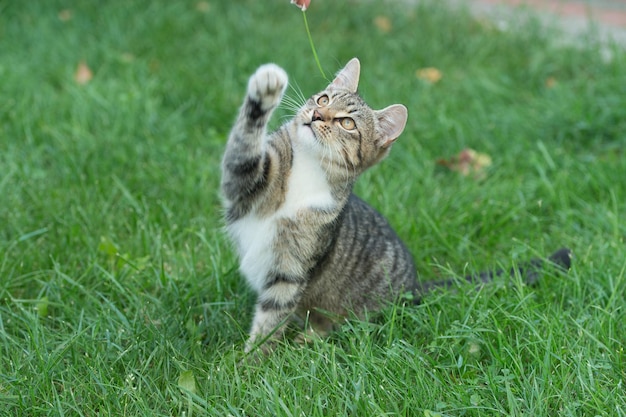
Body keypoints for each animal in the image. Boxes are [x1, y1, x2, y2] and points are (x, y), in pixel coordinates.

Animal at [221, 57, 572, 352]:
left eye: (347, 124)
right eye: (323, 100)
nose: (318, 115)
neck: (309, 166)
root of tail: (415, 285)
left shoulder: (292, 268)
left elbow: (270, 319)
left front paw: (250, 365)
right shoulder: (244, 184)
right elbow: (243, 143)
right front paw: (264, 89)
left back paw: (309, 338)